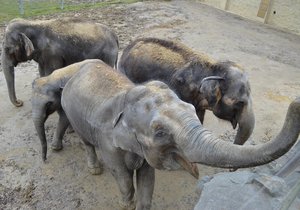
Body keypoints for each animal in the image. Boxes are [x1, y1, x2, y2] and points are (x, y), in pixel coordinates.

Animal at [61, 59, 300, 210]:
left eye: (192, 109)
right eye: (160, 132)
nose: (296, 102)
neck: (127, 95)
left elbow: (148, 180)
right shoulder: (109, 143)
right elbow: (123, 177)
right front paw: (125, 205)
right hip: (73, 115)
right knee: (87, 143)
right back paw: (95, 170)